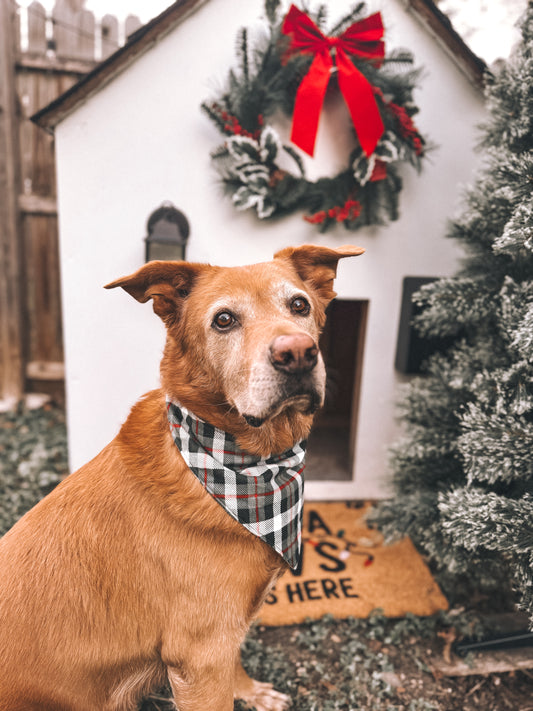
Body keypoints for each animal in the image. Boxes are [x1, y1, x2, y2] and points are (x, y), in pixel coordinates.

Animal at [0, 245, 362, 711]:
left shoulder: (220, 640)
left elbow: (235, 663)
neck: (242, 467)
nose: (298, 352)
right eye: (223, 319)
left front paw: (250, 691)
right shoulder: (200, 655)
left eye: (299, 305)